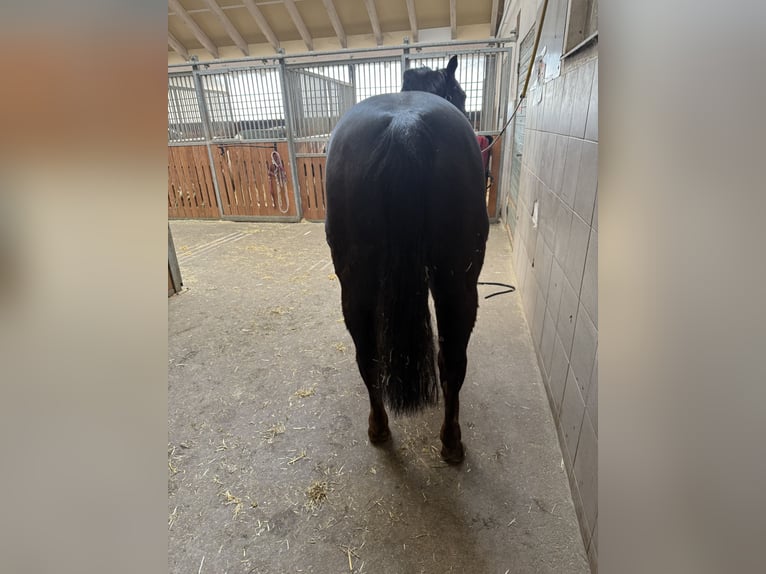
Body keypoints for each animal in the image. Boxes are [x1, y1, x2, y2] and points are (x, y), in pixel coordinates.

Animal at [324, 56, 489, 464]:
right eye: (461, 94)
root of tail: (404, 126)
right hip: (458, 282)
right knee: (452, 362)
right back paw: (451, 443)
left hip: (357, 284)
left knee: (368, 356)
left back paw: (379, 428)